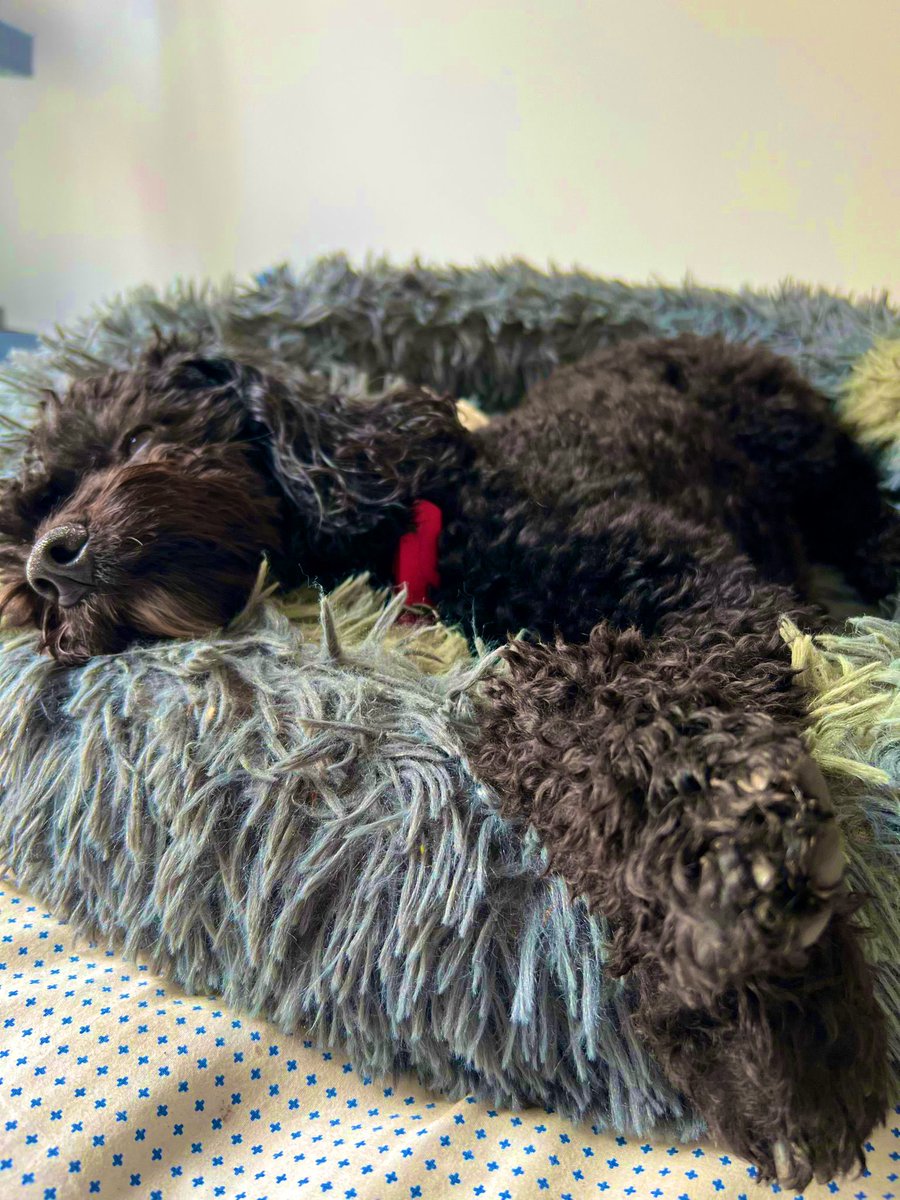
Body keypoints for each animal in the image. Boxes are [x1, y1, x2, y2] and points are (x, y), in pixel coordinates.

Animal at [3, 333, 897, 1185]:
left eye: (140, 437)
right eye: (28, 520)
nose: (48, 561)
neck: (448, 523)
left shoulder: (702, 601)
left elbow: (679, 750)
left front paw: (774, 1023)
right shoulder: (555, 675)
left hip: (812, 463)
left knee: (866, 512)